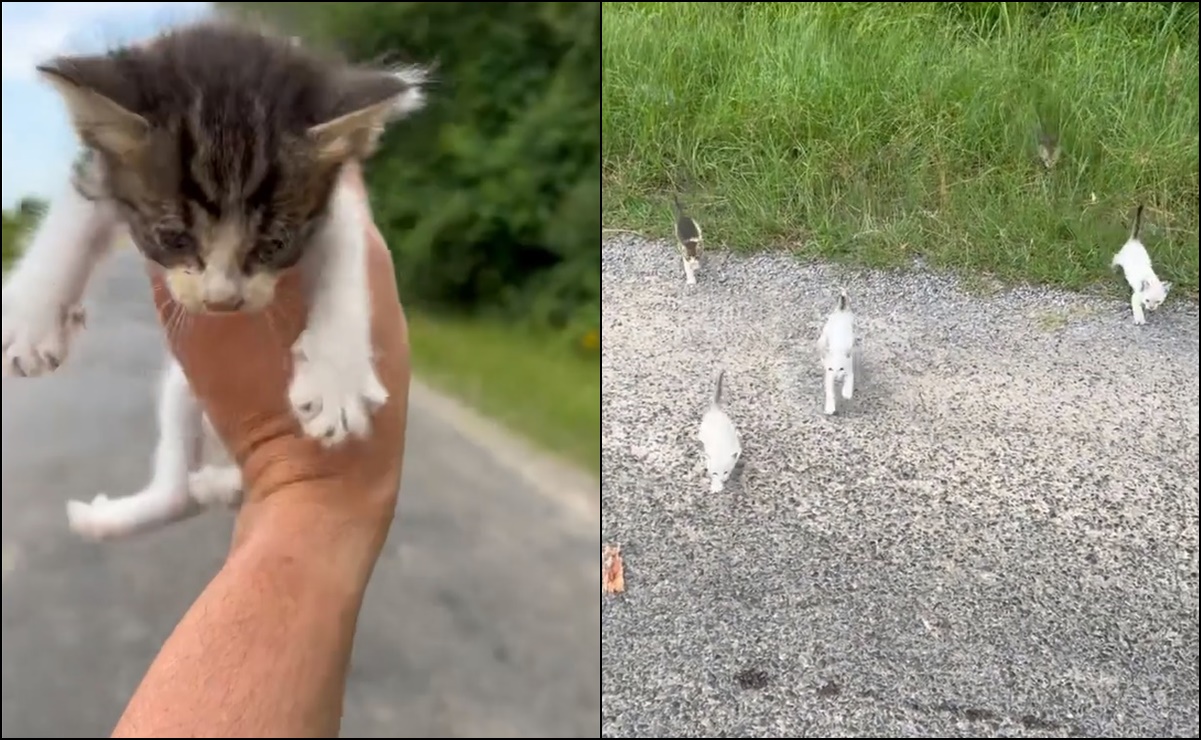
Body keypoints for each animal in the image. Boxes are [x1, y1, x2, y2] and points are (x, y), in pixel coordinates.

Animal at [0, 23, 432, 540]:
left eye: (274, 243)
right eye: (174, 237)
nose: (223, 299)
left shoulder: (336, 204)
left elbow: (347, 265)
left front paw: (337, 380)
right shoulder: (104, 169)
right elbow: (72, 219)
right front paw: (30, 319)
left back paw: (216, 484)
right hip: (181, 390)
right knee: (178, 494)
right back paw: (110, 516)